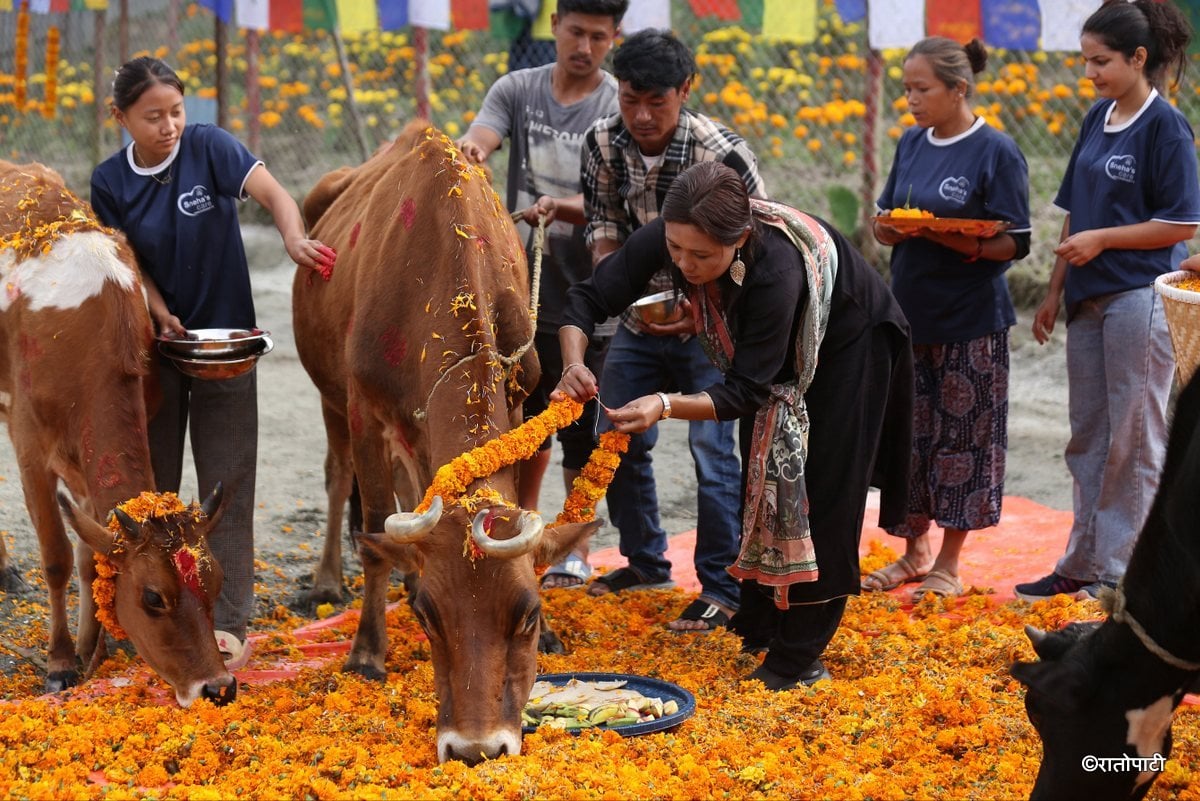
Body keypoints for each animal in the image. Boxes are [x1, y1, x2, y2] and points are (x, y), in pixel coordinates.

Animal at [0, 163, 236, 705]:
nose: (219, 687)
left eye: (215, 583)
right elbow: (57, 557)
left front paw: (94, 652)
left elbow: (90, 557)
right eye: (153, 597)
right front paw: (61, 661)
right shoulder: (29, 445)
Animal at [295, 122, 595, 762]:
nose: (475, 749)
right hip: (330, 398)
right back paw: (328, 578)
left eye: (528, 614)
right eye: (428, 616)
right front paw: (367, 651)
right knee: (338, 479)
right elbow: (373, 532)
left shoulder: (524, 401)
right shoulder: (363, 410)